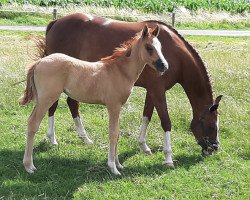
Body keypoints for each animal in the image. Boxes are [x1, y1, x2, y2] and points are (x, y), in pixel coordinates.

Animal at [21, 25, 169, 175]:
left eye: (160, 46)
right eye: (149, 47)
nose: (164, 66)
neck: (120, 71)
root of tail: (39, 62)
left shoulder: (118, 107)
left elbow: (117, 133)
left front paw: (119, 164)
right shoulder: (113, 106)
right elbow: (113, 133)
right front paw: (113, 167)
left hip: (42, 99)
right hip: (47, 98)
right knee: (33, 123)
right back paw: (29, 166)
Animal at [37, 13, 223, 164]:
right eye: (212, 126)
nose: (214, 149)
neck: (174, 54)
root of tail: (56, 22)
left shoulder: (152, 91)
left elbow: (147, 116)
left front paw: (144, 146)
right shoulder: (158, 91)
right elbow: (166, 121)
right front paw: (168, 157)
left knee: (72, 104)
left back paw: (85, 139)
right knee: (54, 106)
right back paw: (52, 139)